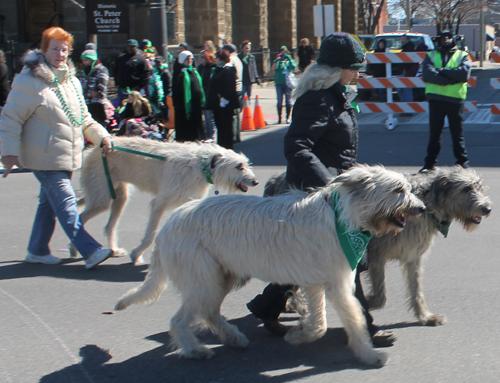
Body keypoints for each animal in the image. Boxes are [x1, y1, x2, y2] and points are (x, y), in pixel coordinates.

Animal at [72, 136, 260, 266]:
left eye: (246, 164)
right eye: (239, 166)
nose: (256, 182)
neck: (200, 165)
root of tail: (90, 150)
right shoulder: (159, 203)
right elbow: (150, 235)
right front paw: (137, 254)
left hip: (119, 196)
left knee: (109, 225)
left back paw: (113, 249)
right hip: (101, 198)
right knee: (80, 218)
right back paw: (77, 250)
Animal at [114, 166, 426, 368]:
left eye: (409, 188)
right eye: (398, 190)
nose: (422, 209)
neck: (344, 217)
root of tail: (167, 225)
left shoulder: (315, 282)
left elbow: (320, 324)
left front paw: (299, 333)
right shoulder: (335, 283)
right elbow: (354, 319)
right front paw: (369, 355)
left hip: (222, 275)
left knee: (209, 311)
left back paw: (233, 337)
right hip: (202, 277)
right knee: (181, 319)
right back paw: (194, 350)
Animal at [366, 166, 490, 326]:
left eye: (479, 187)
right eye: (466, 189)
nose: (487, 209)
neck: (427, 206)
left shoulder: (414, 254)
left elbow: (416, 287)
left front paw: (425, 316)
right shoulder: (375, 252)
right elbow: (380, 295)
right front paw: (366, 302)